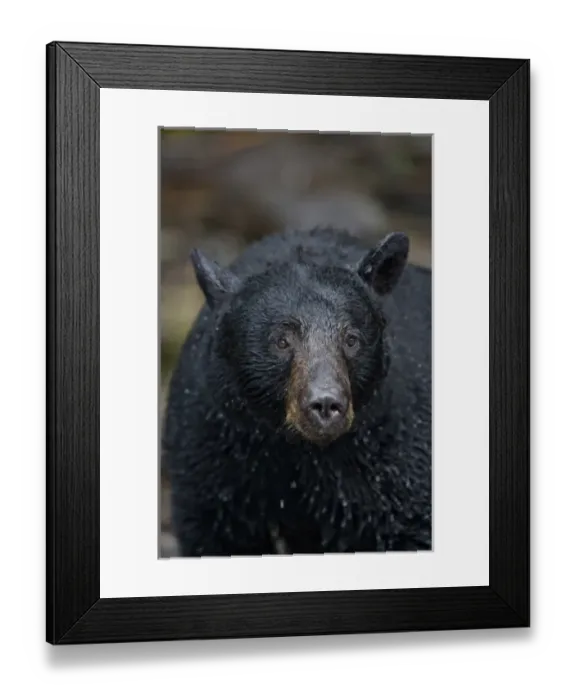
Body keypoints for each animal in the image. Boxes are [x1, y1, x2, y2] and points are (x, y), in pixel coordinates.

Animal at [162, 226, 431, 557]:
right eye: (281, 341)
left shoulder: (397, 456)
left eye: (351, 339)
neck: (299, 452)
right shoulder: (210, 454)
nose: (326, 404)